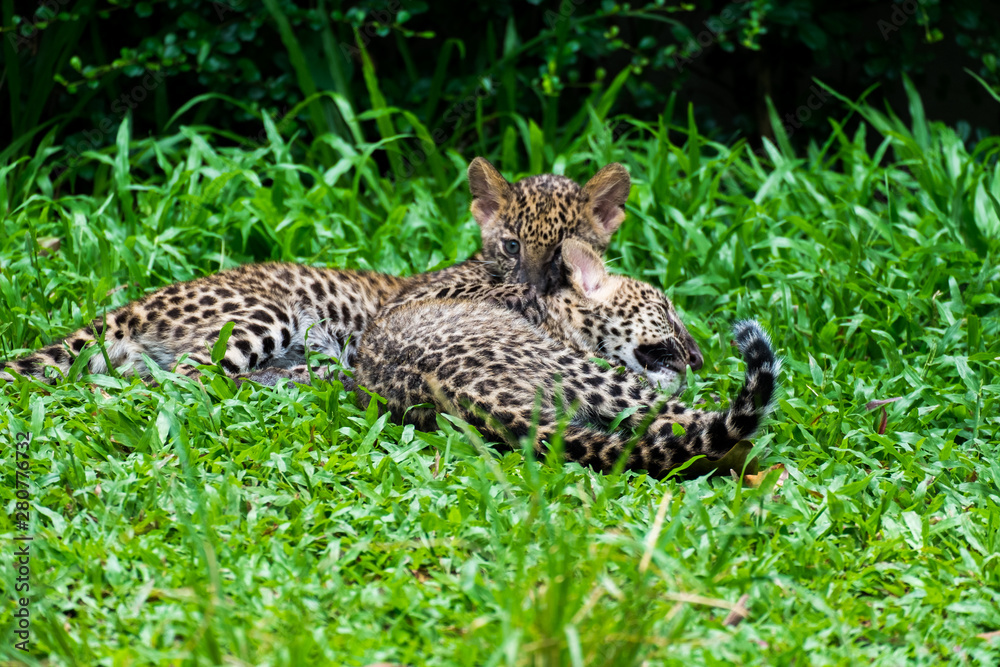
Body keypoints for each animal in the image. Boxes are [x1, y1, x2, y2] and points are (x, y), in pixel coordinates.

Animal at [1, 160, 702, 384]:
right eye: (510, 247)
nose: (528, 289)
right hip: (265, 312)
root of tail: (133, 306)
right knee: (189, 381)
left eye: (561, 253)